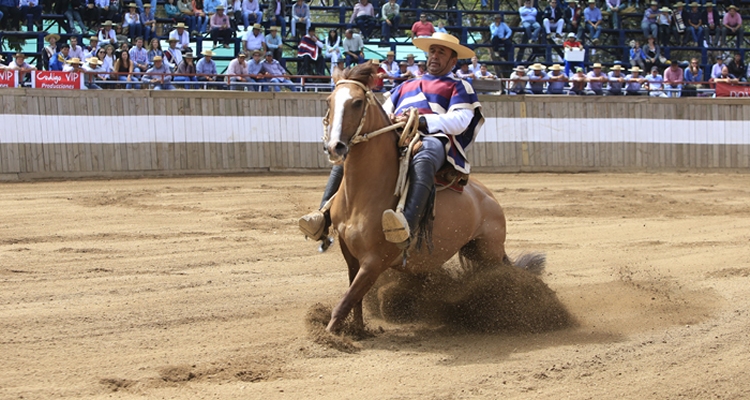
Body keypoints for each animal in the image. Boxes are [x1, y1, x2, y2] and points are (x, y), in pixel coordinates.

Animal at [324, 62, 548, 332]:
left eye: (357, 102)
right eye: (329, 101)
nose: (335, 146)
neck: (365, 194)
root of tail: (489, 199)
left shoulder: (375, 260)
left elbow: (347, 300)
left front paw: (329, 334)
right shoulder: (350, 252)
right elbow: (354, 297)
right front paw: (357, 330)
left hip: (488, 253)